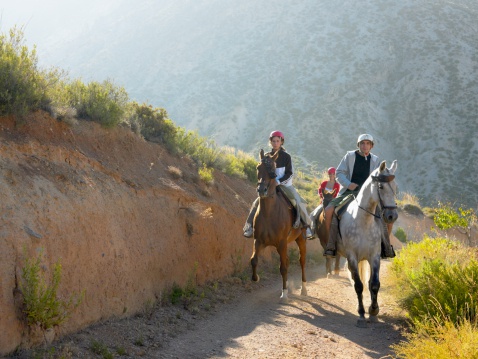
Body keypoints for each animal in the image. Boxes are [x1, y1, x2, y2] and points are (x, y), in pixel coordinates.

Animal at [250, 149, 306, 300]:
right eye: (258, 167)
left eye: (272, 170)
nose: (261, 190)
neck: (269, 214)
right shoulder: (259, 241)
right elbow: (253, 260)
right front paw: (255, 278)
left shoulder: (281, 243)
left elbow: (283, 268)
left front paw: (284, 292)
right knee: (287, 260)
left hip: (301, 239)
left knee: (302, 261)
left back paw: (304, 289)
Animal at [334, 162, 398, 328]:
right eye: (381, 186)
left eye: (395, 187)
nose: (392, 216)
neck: (363, 221)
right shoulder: (352, 256)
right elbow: (358, 285)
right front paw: (362, 314)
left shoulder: (374, 255)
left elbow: (374, 284)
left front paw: (373, 311)